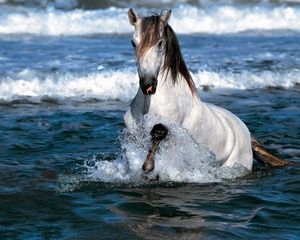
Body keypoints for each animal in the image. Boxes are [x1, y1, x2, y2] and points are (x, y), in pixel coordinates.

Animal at [123, 8, 290, 173]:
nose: (147, 84)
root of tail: (247, 134)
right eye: (133, 43)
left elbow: (158, 132)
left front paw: (148, 166)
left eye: (160, 43)